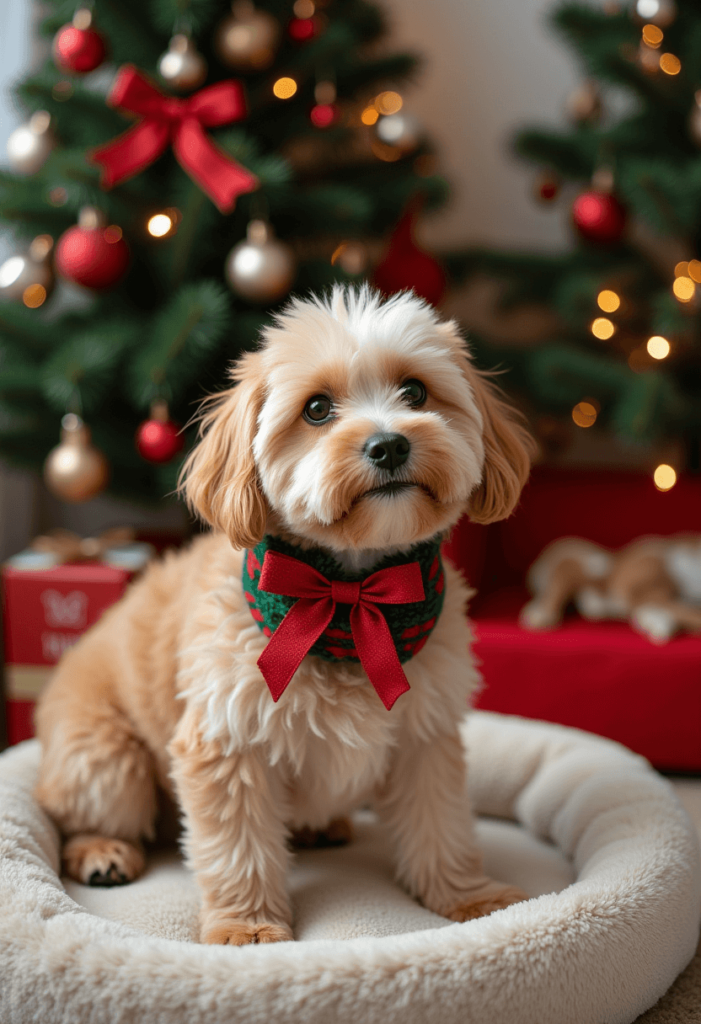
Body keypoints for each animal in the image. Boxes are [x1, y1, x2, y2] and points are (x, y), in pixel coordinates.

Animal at [34, 286, 532, 942]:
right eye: (317, 409)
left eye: (416, 392)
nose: (390, 444)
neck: (348, 600)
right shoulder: (226, 744)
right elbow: (239, 848)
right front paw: (247, 927)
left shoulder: (425, 737)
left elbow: (441, 825)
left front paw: (470, 898)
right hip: (108, 761)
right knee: (73, 817)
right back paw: (102, 851)